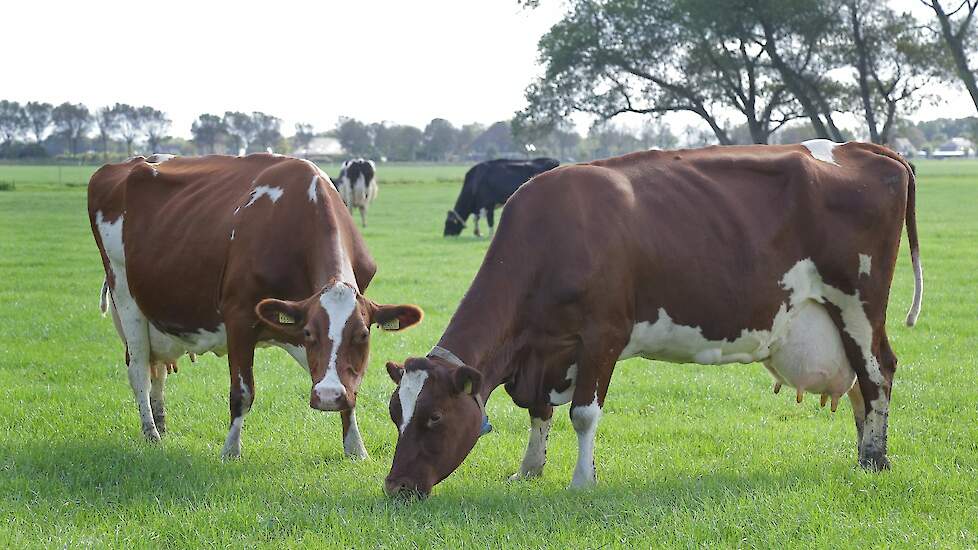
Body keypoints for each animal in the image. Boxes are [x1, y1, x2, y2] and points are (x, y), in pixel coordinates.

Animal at [90, 152, 424, 462]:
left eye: (363, 335)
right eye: (309, 333)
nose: (328, 397)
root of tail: (133, 162)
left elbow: (350, 386)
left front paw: (355, 448)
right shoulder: (239, 316)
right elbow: (242, 392)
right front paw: (230, 451)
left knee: (156, 370)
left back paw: (161, 424)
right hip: (125, 294)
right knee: (139, 370)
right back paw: (152, 433)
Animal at [384, 140, 924, 498]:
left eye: (434, 417)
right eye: (394, 414)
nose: (395, 487)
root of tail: (862, 148)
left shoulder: (603, 334)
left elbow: (583, 413)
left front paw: (581, 482)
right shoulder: (546, 350)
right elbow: (539, 413)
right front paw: (529, 470)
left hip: (858, 302)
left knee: (879, 372)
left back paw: (875, 460)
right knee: (859, 385)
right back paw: (864, 453)